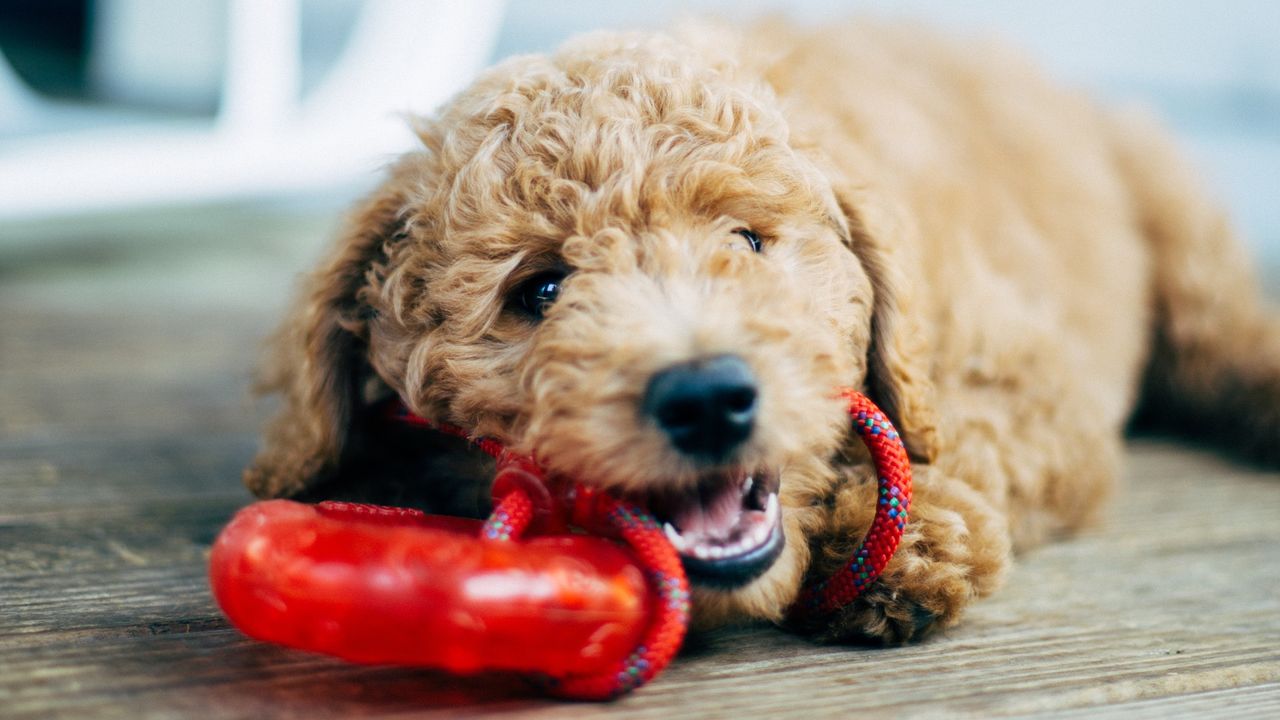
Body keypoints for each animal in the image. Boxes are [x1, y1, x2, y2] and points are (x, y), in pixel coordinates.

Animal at [241, 20, 1280, 638]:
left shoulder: (1032, 377)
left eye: (748, 241)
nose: (706, 398)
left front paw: (905, 537)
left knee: (1224, 330)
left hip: (1170, 212)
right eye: (539, 289)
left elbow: (959, 433)